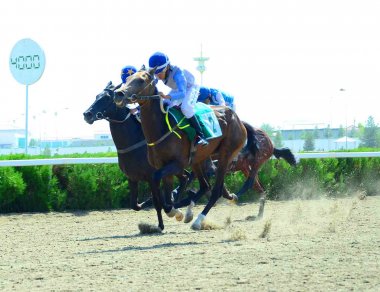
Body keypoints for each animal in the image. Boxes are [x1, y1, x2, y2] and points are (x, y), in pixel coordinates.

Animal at [83, 81, 190, 229]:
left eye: (107, 98)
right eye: (96, 96)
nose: (87, 114)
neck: (133, 144)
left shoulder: (152, 176)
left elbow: (157, 202)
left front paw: (161, 224)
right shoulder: (132, 178)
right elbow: (135, 205)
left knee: (186, 178)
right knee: (185, 177)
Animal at [114, 68, 248, 230]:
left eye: (141, 80)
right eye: (127, 80)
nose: (119, 94)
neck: (161, 130)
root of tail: (236, 117)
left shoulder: (177, 164)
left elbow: (159, 184)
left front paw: (174, 211)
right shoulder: (163, 166)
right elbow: (167, 195)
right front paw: (174, 212)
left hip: (225, 155)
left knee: (215, 190)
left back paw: (198, 220)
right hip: (198, 160)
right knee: (205, 186)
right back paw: (191, 213)